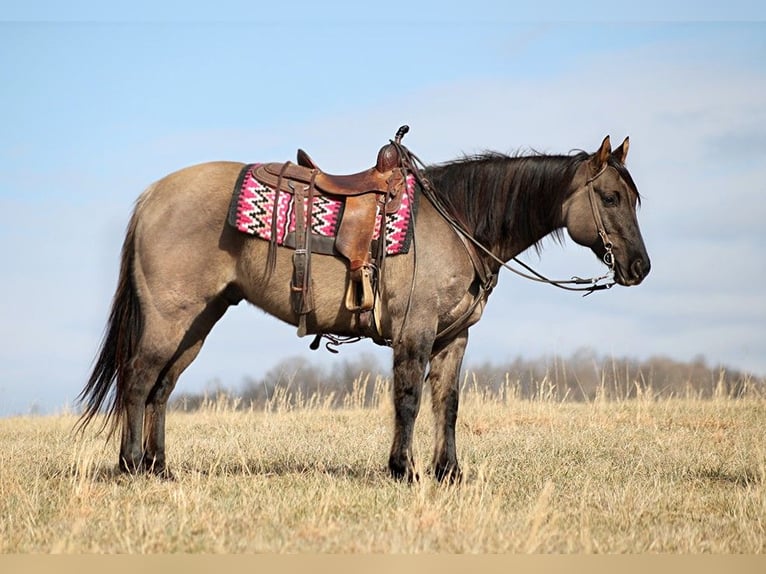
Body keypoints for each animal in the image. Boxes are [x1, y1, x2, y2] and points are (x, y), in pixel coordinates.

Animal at [78, 134, 652, 482]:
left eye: (634, 198)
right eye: (610, 197)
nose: (640, 267)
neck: (458, 221)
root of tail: (153, 196)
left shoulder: (454, 339)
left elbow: (447, 405)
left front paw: (448, 473)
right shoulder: (416, 332)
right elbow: (409, 401)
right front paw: (404, 469)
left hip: (197, 323)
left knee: (161, 389)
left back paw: (160, 468)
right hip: (169, 319)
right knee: (138, 381)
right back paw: (131, 466)